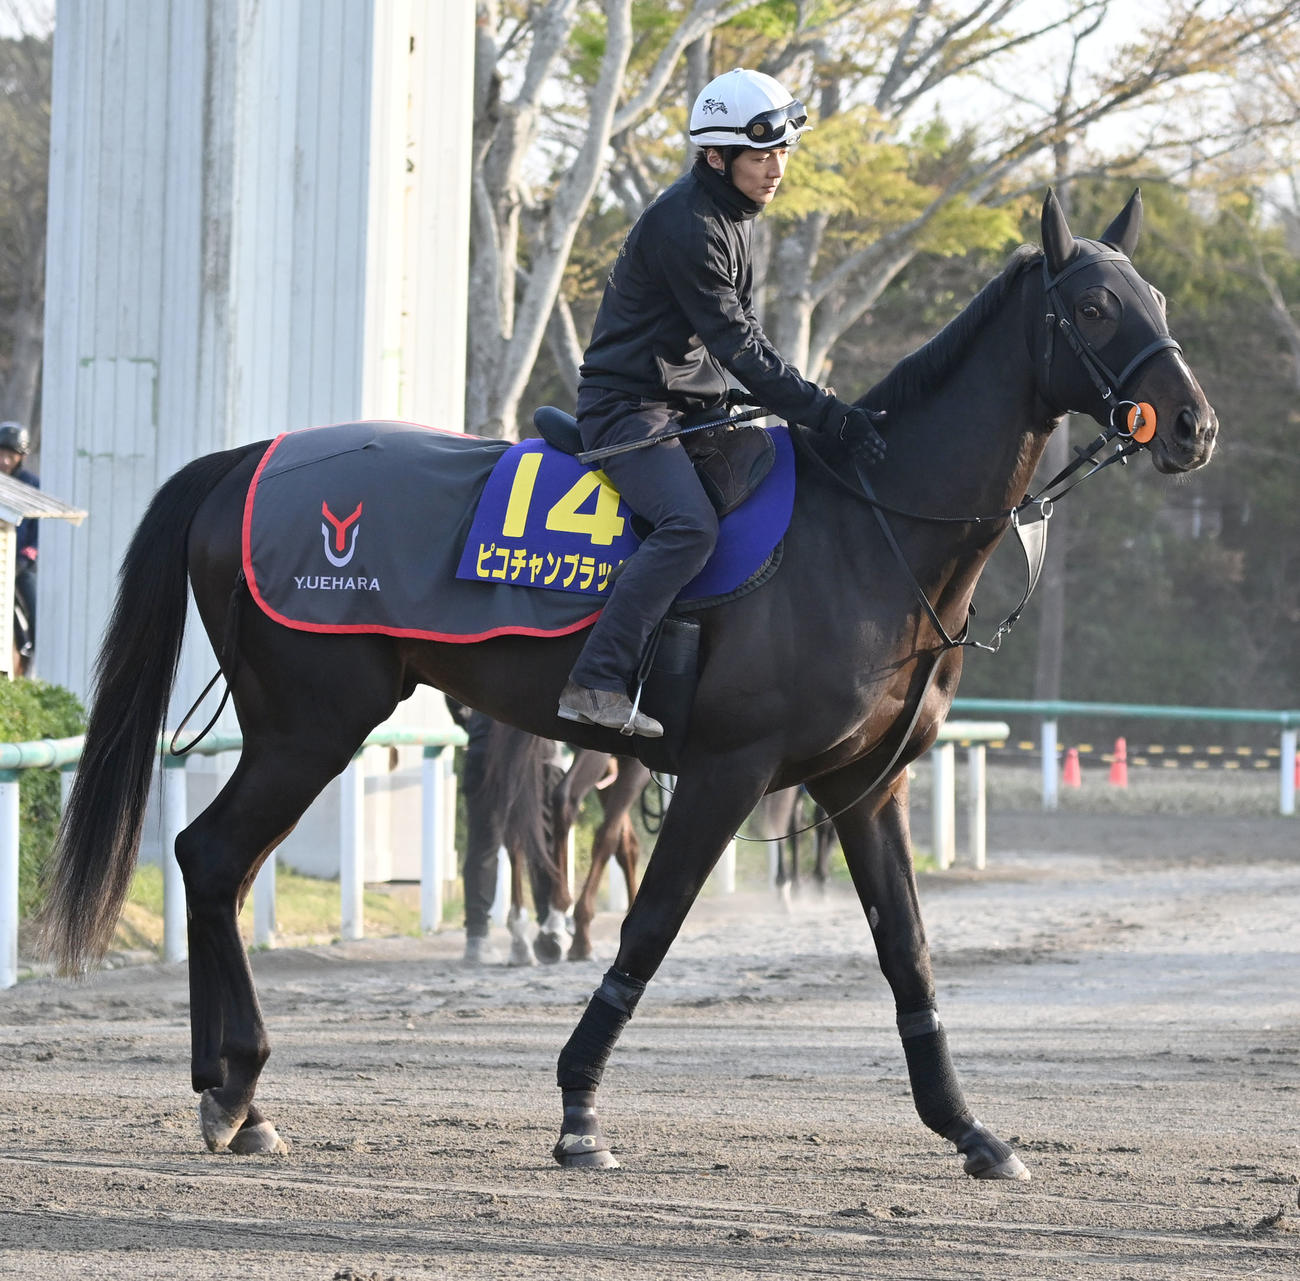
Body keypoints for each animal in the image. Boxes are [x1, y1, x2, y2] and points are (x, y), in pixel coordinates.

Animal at [41, 191, 1216, 1176]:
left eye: (1156, 297)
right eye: (1097, 305)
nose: (1193, 425)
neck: (865, 526)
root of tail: (242, 461)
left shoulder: (861, 788)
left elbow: (910, 958)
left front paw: (970, 1129)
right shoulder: (726, 773)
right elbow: (648, 931)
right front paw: (577, 1113)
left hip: (303, 729)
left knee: (222, 869)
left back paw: (232, 1095)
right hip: (310, 725)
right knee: (212, 857)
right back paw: (236, 1087)